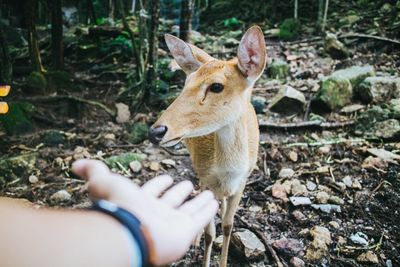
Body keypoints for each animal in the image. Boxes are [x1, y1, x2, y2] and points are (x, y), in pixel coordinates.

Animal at [148, 25, 268, 267]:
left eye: (216, 86)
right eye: (185, 84)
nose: (156, 131)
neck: (228, 172)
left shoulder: (243, 181)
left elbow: (228, 226)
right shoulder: (207, 178)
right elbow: (210, 233)